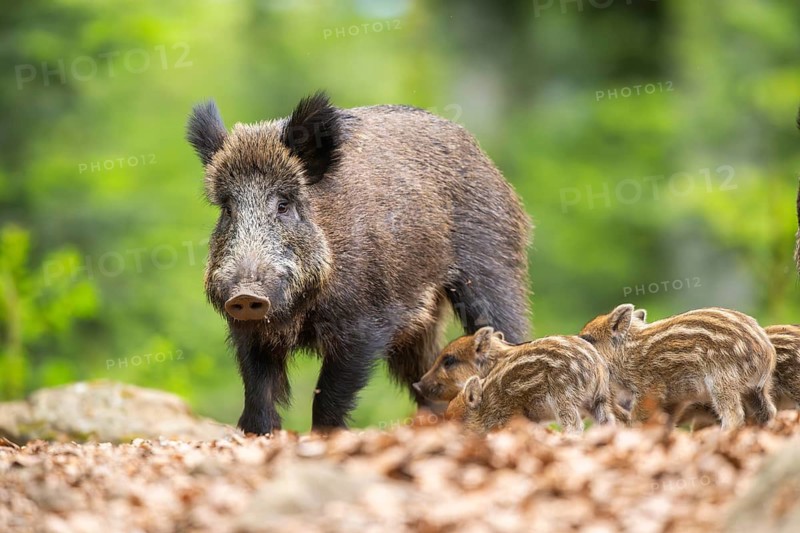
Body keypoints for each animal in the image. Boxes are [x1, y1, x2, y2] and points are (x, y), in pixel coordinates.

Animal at [186, 92, 531, 434]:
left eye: (284, 205)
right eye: (228, 209)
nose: (245, 294)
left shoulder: (366, 324)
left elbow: (329, 396)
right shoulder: (247, 330)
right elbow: (258, 391)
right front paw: (260, 433)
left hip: (492, 265)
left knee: (505, 328)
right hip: (423, 320)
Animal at [444, 335, 621, 434]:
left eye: (458, 419)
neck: (488, 402)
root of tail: (598, 365)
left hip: (564, 395)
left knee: (574, 425)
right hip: (597, 400)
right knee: (608, 421)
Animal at [580, 304, 777, 430]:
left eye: (588, 339)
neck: (628, 353)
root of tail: (766, 351)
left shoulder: (649, 389)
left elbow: (638, 417)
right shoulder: (674, 399)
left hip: (722, 381)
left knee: (734, 416)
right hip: (756, 389)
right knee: (768, 411)